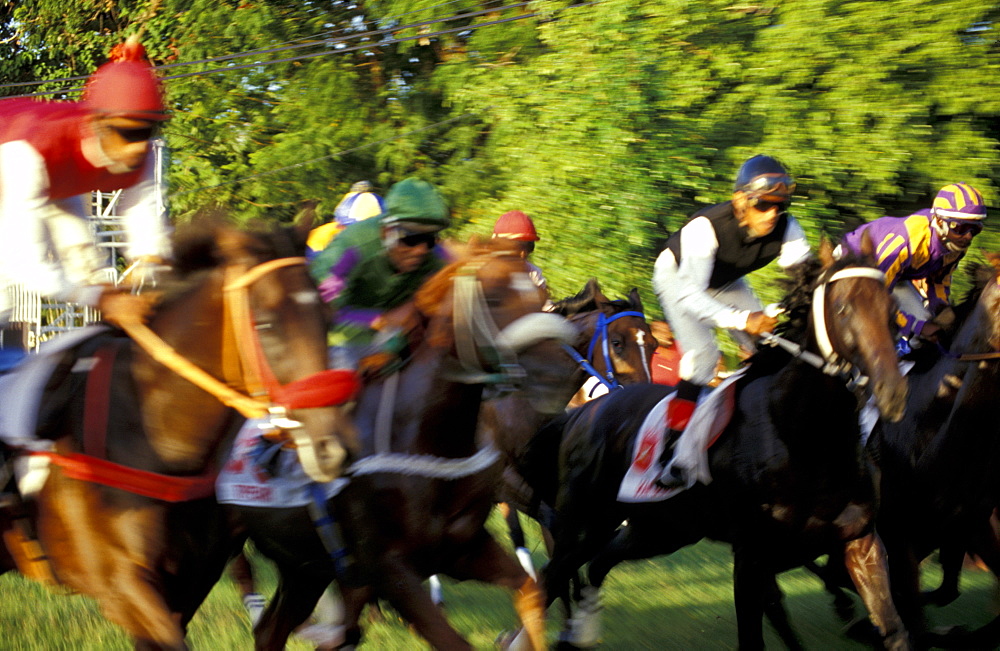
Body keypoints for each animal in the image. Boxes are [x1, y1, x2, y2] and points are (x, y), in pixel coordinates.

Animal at [223, 238, 576, 651]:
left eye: (542, 296)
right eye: (492, 298)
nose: (560, 374)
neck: (423, 439)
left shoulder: (463, 548)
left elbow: (531, 592)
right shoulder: (389, 569)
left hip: (304, 567)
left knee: (270, 630)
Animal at [524, 241, 916, 651]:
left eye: (892, 310)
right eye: (842, 308)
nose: (892, 391)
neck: (801, 437)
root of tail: (582, 412)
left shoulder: (860, 540)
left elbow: (893, 628)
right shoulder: (751, 555)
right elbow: (758, 629)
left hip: (658, 530)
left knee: (598, 563)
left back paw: (579, 632)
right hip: (580, 527)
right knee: (547, 583)